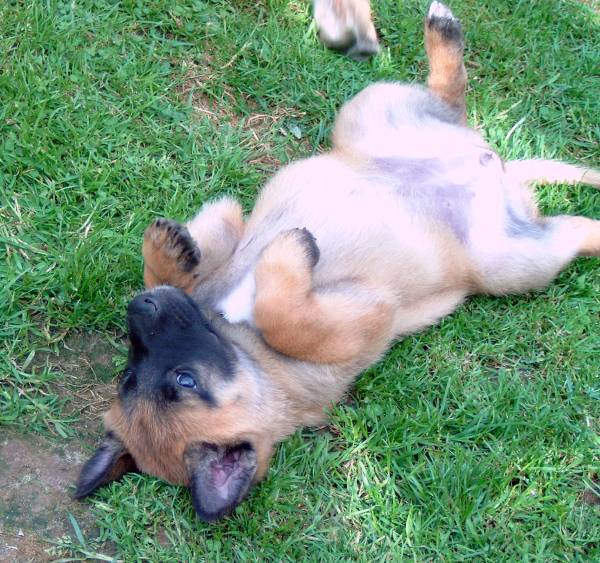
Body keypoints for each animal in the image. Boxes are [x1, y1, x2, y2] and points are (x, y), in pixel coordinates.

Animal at [75, 2, 600, 522]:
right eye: (135, 374)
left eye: (180, 379)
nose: (139, 307)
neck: (247, 349)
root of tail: (498, 166)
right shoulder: (367, 317)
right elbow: (286, 315)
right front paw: (280, 254)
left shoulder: (229, 243)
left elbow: (206, 258)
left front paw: (168, 251)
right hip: (512, 262)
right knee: (570, 228)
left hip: (370, 108)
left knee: (449, 100)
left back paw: (441, 31)